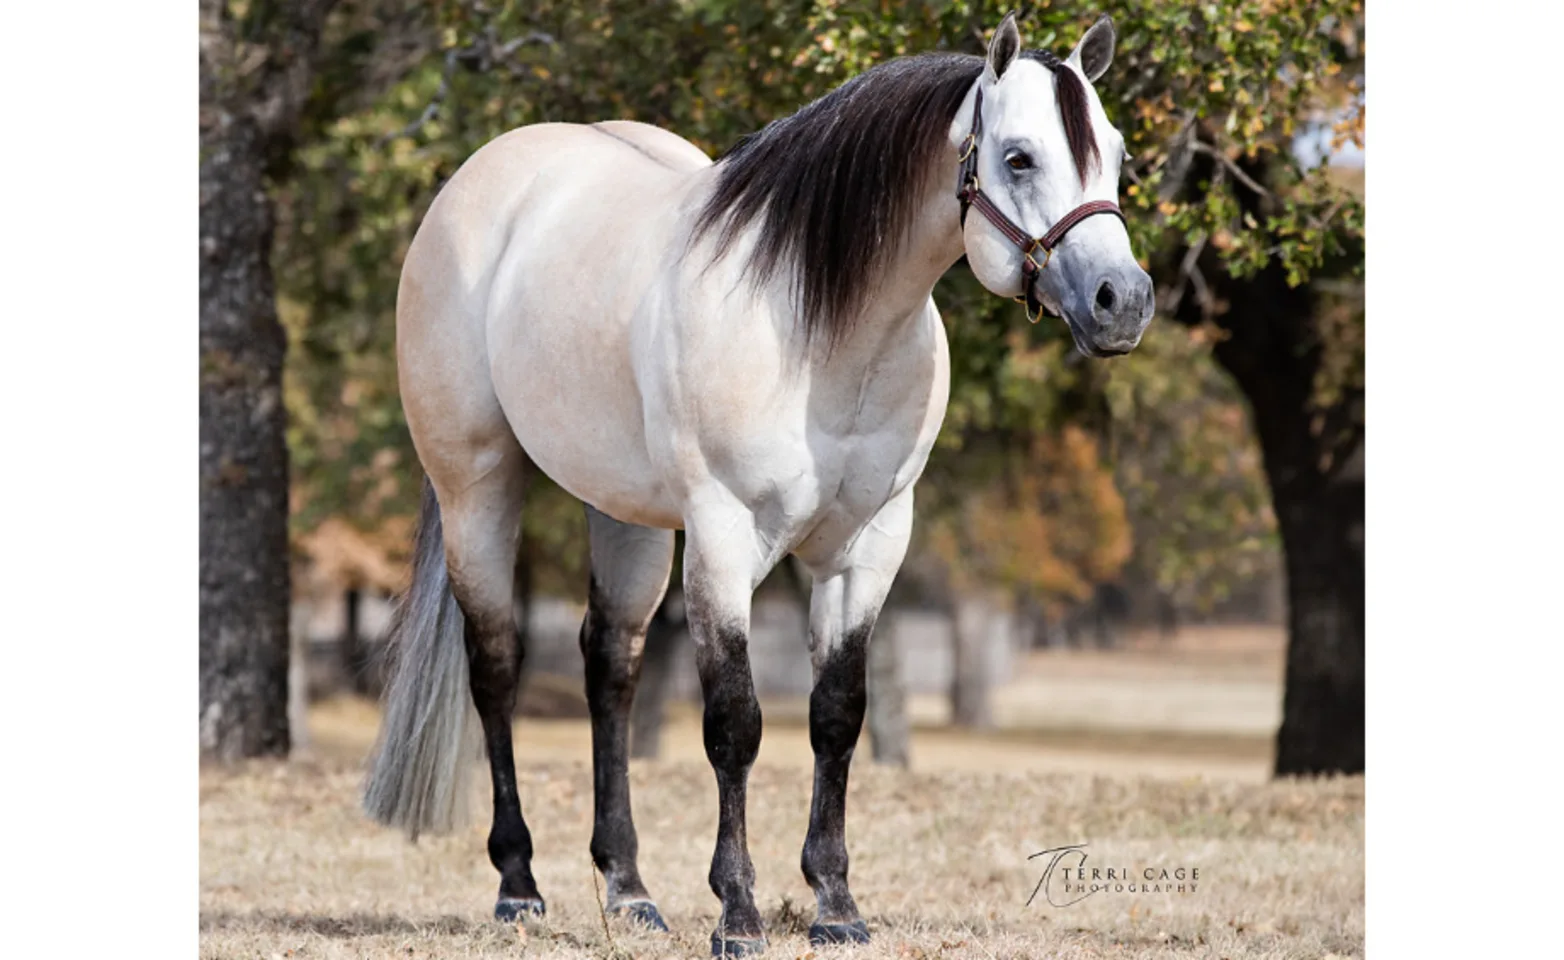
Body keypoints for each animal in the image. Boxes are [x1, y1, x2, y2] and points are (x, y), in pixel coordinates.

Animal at [363, 11, 1152, 956]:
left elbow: (836, 716)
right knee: (496, 667)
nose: (1122, 300)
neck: (818, 330)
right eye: (1020, 157)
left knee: (610, 668)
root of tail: (478, 182)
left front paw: (835, 905)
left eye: (1117, 153)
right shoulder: (723, 539)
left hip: (624, 516)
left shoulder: (868, 547)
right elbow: (734, 726)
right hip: (477, 485)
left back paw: (630, 891)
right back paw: (518, 886)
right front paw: (737, 913)